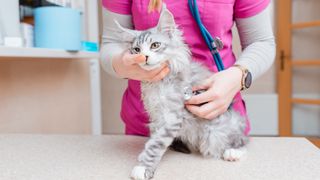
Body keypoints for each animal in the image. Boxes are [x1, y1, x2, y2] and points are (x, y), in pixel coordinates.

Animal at [113, 5, 250, 180]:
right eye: (136, 50)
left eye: (155, 45)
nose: (144, 57)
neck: (159, 83)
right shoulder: (157, 117)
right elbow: (154, 140)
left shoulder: (171, 118)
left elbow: (155, 145)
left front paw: (143, 167)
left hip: (216, 131)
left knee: (242, 140)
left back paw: (233, 152)